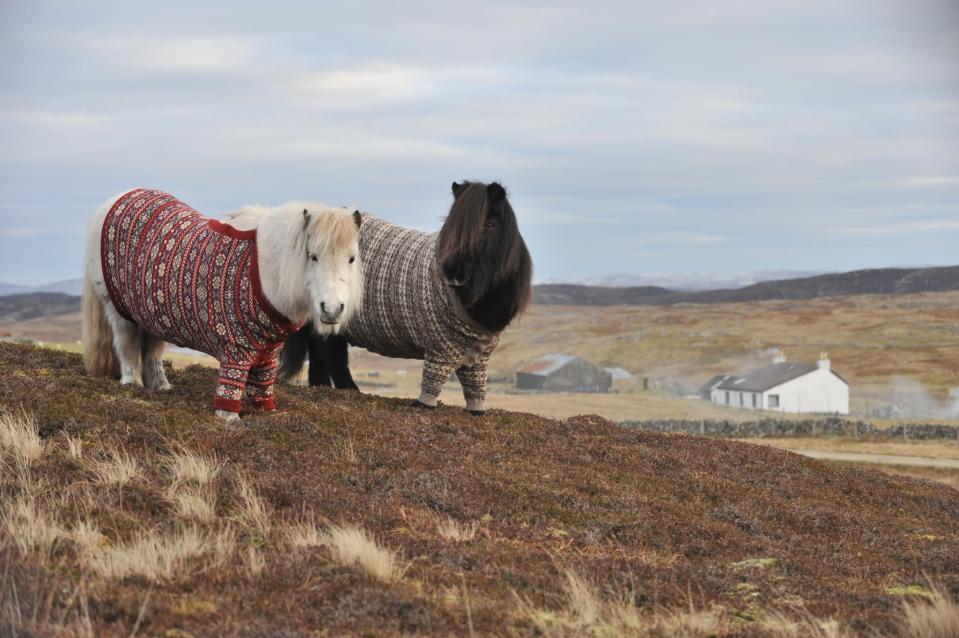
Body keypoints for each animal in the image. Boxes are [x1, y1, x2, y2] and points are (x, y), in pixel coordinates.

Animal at [83, 190, 364, 420]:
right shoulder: (235, 349)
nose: (332, 309)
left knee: (152, 351)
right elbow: (231, 388)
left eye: (351, 258)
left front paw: (265, 411)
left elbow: (263, 386)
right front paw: (229, 418)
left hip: (152, 314)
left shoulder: (269, 351)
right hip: (119, 312)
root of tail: (112, 202)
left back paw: (161, 387)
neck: (264, 271)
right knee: (127, 345)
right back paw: (132, 385)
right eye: (312, 256)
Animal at [280, 180, 532, 416]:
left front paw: (477, 411)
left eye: (490, 224)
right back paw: (348, 390)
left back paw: (321, 386)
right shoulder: (439, 350)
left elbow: (475, 388)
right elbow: (432, 383)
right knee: (331, 353)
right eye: (451, 225)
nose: (452, 271)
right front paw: (423, 405)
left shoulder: (479, 358)